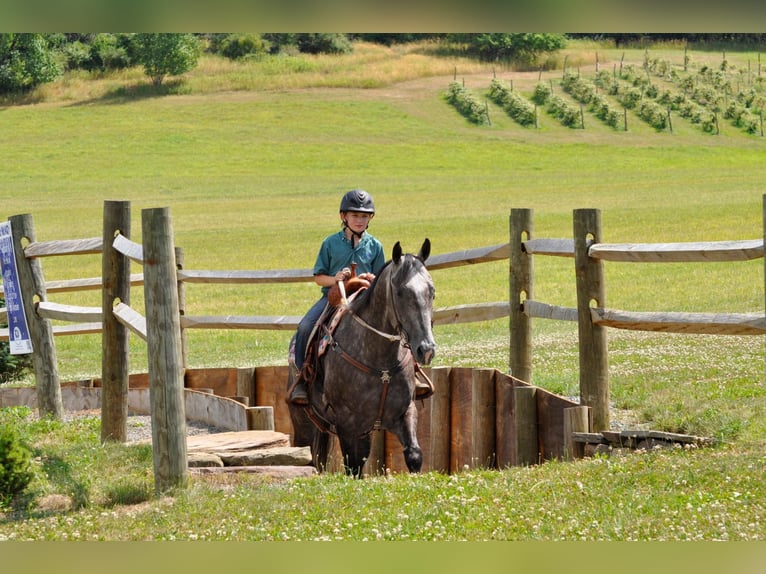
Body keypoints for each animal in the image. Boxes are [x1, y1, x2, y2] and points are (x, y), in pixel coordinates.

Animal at [288, 241, 438, 480]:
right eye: (400, 292)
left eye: (431, 291)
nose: (426, 349)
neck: (380, 362)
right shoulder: (347, 423)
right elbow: (353, 465)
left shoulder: (405, 412)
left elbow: (414, 454)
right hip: (302, 420)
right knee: (306, 453)